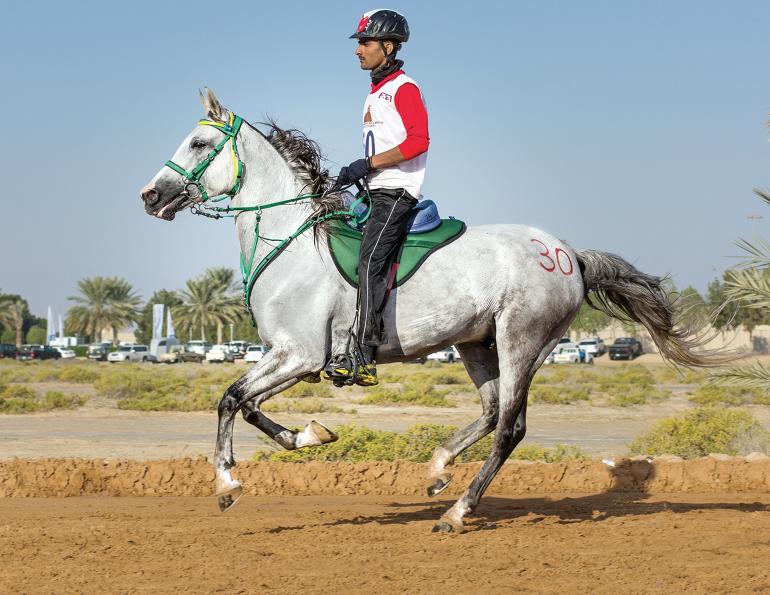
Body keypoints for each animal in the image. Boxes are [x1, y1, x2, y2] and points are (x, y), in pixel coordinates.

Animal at [140, 89, 722, 533]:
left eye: (199, 143)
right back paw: (438, 468)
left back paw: (457, 511)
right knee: (491, 411)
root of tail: (568, 254)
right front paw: (309, 435)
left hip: (522, 340)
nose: (151, 196)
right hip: (475, 343)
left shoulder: (301, 355)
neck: (291, 242)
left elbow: (229, 398)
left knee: (510, 427)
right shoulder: (285, 356)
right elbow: (248, 405)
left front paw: (226, 483)